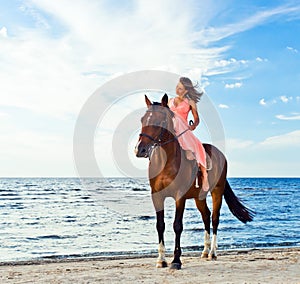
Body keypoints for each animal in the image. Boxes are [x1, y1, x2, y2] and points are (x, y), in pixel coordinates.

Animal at [135, 94, 254, 270]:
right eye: (143, 119)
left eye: (161, 120)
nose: (140, 149)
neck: (166, 161)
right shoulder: (156, 196)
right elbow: (160, 225)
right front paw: (161, 259)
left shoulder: (180, 197)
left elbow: (177, 225)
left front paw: (176, 260)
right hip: (200, 197)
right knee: (206, 216)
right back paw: (204, 251)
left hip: (217, 192)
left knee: (214, 218)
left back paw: (212, 253)